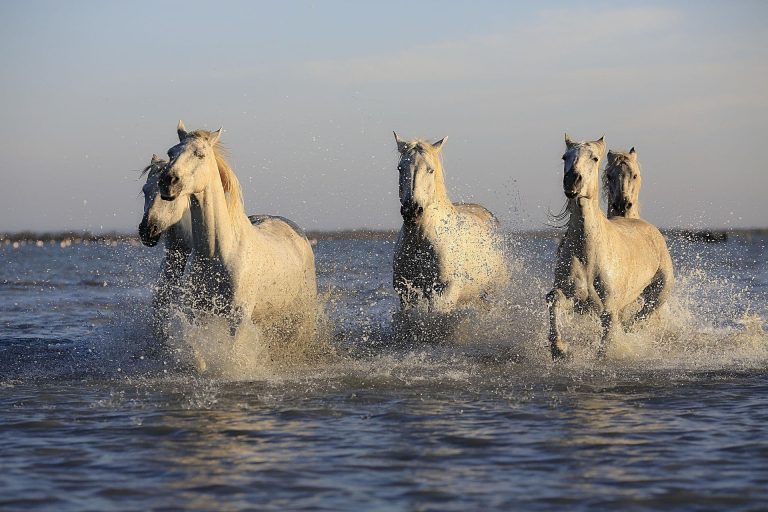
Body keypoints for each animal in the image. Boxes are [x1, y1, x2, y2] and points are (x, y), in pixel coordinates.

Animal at [157, 121, 317, 343]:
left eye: (200, 154)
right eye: (171, 152)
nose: (167, 181)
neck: (217, 253)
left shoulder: (237, 318)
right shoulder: (198, 314)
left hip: (303, 310)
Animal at [392, 132, 508, 318]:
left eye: (430, 170)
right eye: (400, 168)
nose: (412, 211)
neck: (420, 241)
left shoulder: (443, 292)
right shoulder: (407, 294)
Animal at [547, 135, 674, 360]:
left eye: (594, 158)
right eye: (564, 157)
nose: (572, 181)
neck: (589, 252)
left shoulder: (609, 309)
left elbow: (607, 342)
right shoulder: (576, 299)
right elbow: (554, 299)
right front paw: (559, 348)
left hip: (658, 294)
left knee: (641, 317)